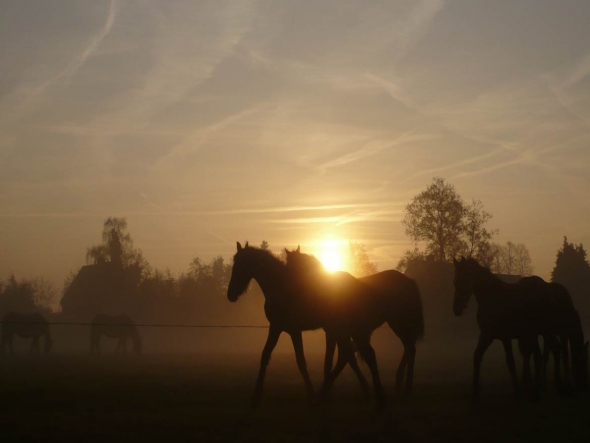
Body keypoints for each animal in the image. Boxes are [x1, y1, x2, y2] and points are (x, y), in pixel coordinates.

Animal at [227, 245, 380, 408]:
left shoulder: (294, 331)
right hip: (340, 330)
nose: (230, 295)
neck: (280, 288)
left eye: (240, 265)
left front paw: (311, 394)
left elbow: (300, 360)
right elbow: (265, 355)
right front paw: (256, 395)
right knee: (348, 355)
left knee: (356, 354)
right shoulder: (275, 327)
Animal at [286, 248, 426, 398]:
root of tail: (409, 281)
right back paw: (401, 383)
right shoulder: (335, 332)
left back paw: (405, 387)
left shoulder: (335, 332)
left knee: (410, 348)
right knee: (409, 348)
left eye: (290, 266)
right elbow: (334, 359)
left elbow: (335, 359)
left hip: (398, 323)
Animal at [454, 256, 588, 402]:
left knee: (548, 353)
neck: (493, 298)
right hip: (541, 333)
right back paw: (549, 386)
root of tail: (548, 292)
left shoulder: (502, 337)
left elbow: (511, 362)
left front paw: (518, 390)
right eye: (455, 281)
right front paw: (475, 391)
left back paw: (542, 389)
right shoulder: (487, 335)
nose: (457, 309)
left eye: (466, 279)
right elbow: (478, 356)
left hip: (542, 333)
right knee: (549, 352)